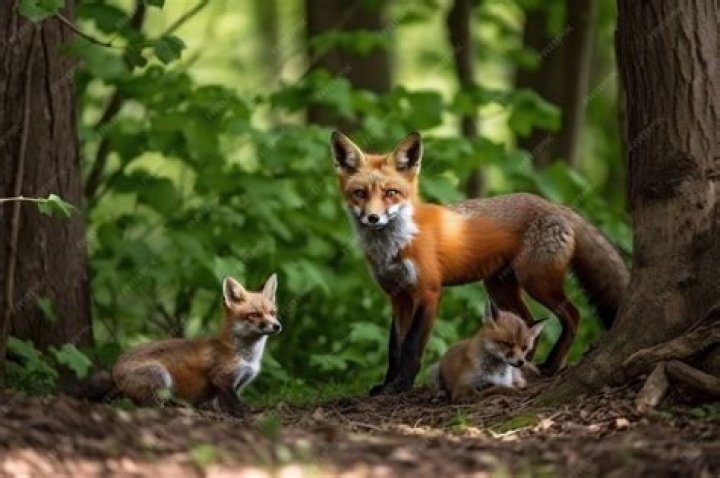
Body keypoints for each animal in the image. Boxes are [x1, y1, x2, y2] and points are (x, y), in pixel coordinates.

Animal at [111, 274, 281, 415]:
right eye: (255, 314)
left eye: (272, 313)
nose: (277, 326)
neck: (247, 357)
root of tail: (114, 369)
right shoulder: (222, 378)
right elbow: (234, 403)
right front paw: (243, 413)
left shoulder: (237, 382)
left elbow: (222, 404)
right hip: (160, 375)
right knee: (149, 404)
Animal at [330, 131, 629, 395]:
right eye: (360, 193)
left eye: (391, 192)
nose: (373, 218)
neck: (396, 244)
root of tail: (555, 205)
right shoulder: (398, 296)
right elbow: (394, 348)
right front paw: (387, 385)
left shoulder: (428, 292)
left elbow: (411, 347)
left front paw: (401, 386)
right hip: (499, 287)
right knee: (529, 324)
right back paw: (524, 365)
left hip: (537, 282)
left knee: (572, 315)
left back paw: (552, 364)